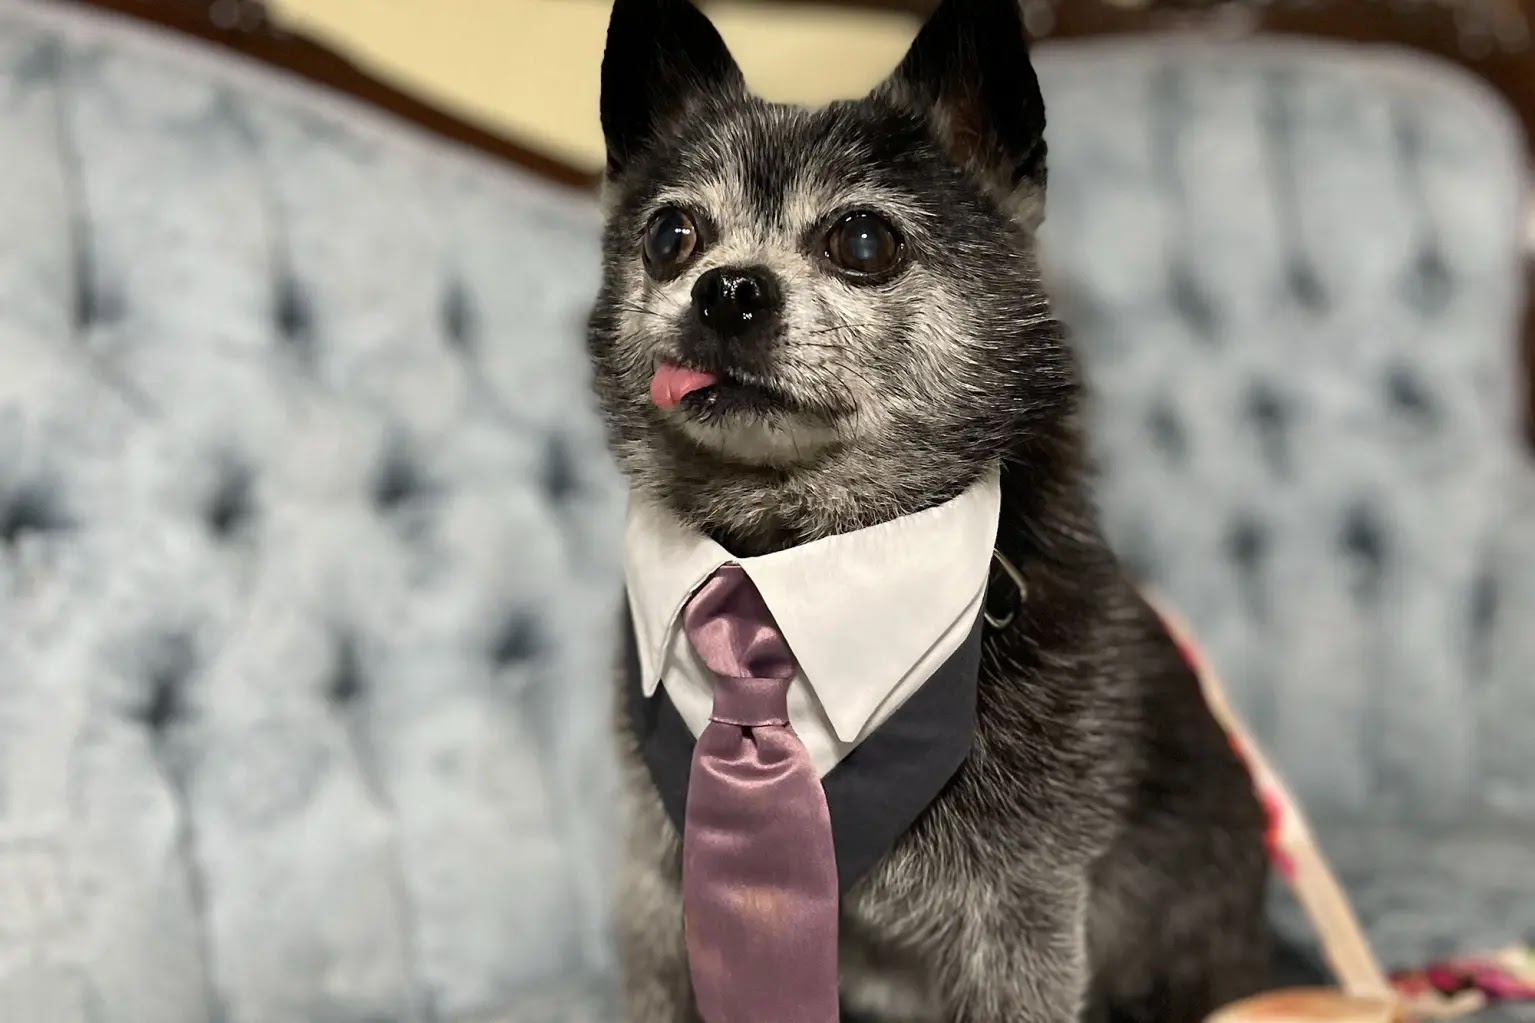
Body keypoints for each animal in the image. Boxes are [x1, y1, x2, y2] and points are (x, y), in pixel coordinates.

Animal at [586, 0, 1270, 1013]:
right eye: (671, 236)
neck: (781, 551)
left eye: (863, 242)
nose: (728, 290)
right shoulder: (657, 887)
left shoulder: (1022, 916)